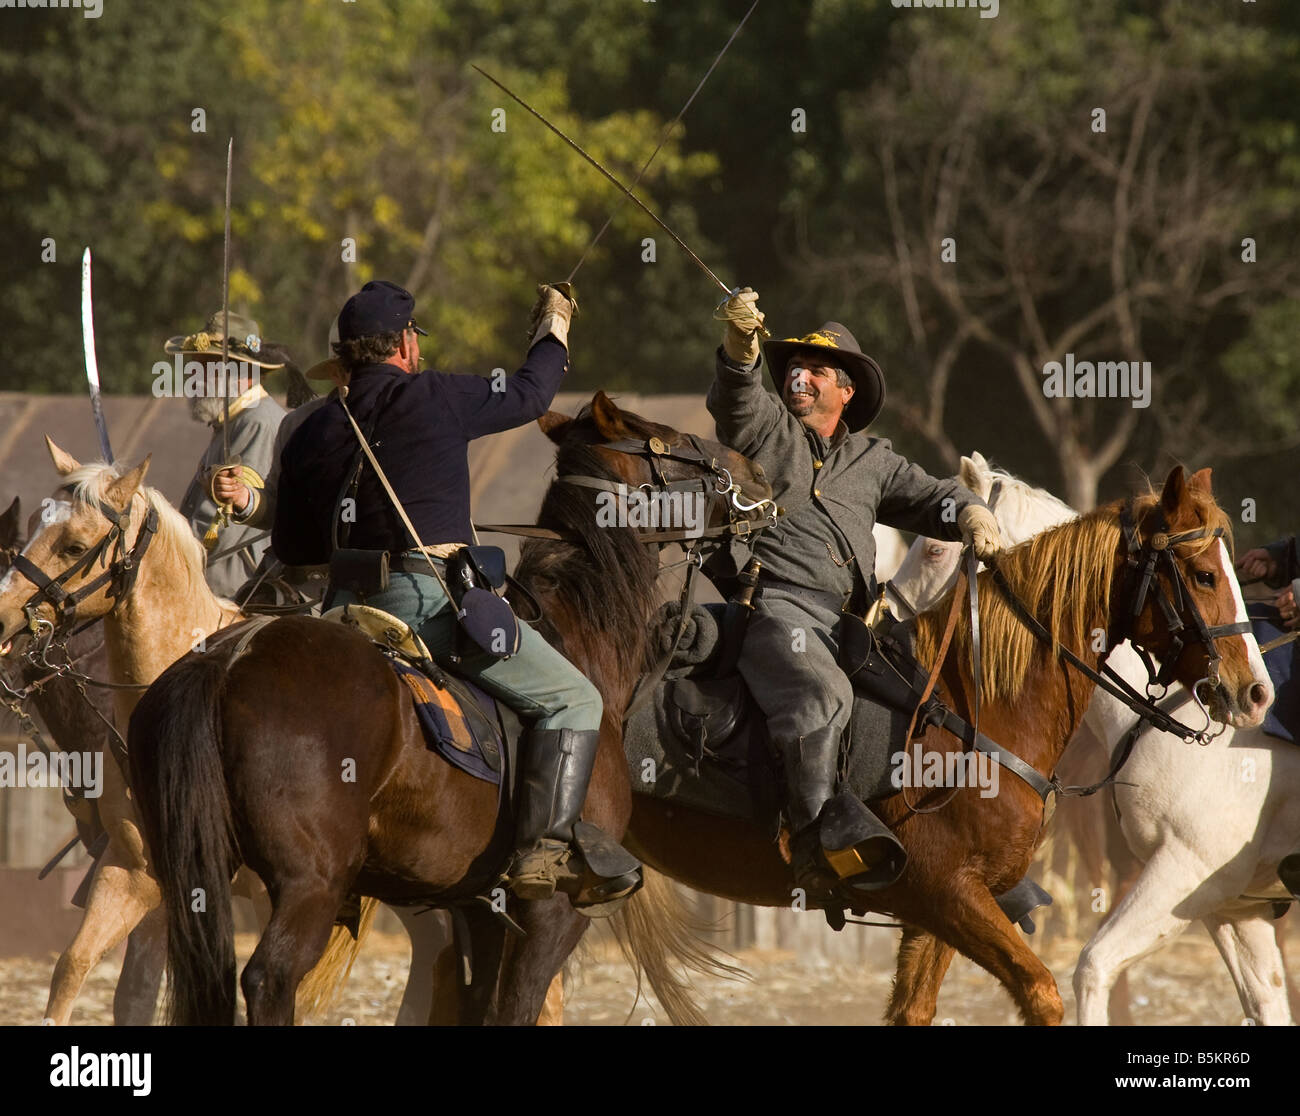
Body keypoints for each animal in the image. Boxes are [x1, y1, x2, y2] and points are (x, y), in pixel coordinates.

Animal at [122, 392, 769, 1024]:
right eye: (669, 442)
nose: (755, 474)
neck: (578, 642)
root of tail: (228, 659)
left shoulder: (476, 911)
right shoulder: (552, 916)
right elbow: (516, 1007)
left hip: (192, 879)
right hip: (310, 884)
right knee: (268, 978)